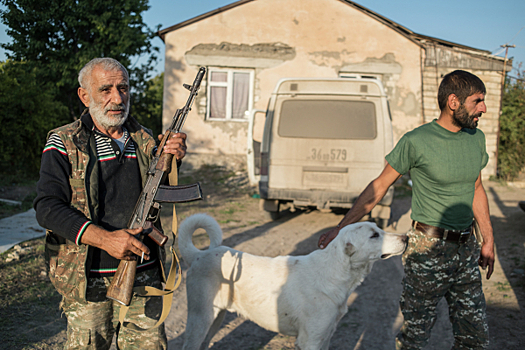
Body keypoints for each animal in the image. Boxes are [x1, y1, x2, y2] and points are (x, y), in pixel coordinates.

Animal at [178, 213, 408, 350]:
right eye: (374, 235)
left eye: (379, 229)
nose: (406, 237)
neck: (334, 273)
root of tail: (199, 255)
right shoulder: (310, 340)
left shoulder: (325, 336)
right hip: (201, 318)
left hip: (216, 318)